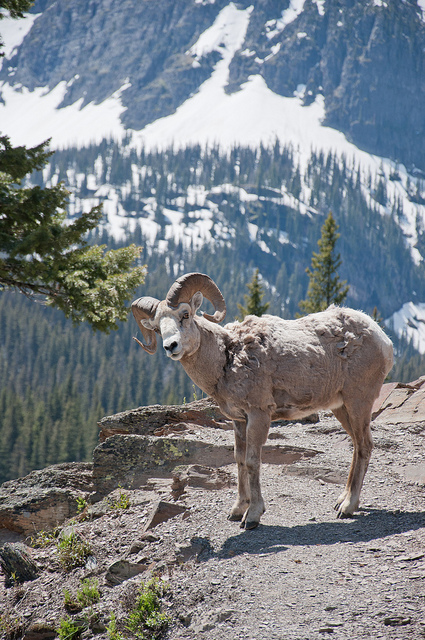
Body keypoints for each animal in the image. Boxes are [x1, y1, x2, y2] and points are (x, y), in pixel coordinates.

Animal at [131, 274, 392, 528]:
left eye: (185, 314)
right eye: (157, 328)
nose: (171, 346)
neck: (226, 358)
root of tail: (383, 340)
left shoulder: (258, 415)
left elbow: (252, 462)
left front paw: (253, 516)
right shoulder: (238, 420)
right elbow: (238, 460)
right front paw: (237, 510)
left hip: (358, 401)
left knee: (364, 445)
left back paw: (348, 507)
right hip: (341, 407)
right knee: (357, 445)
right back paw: (341, 501)